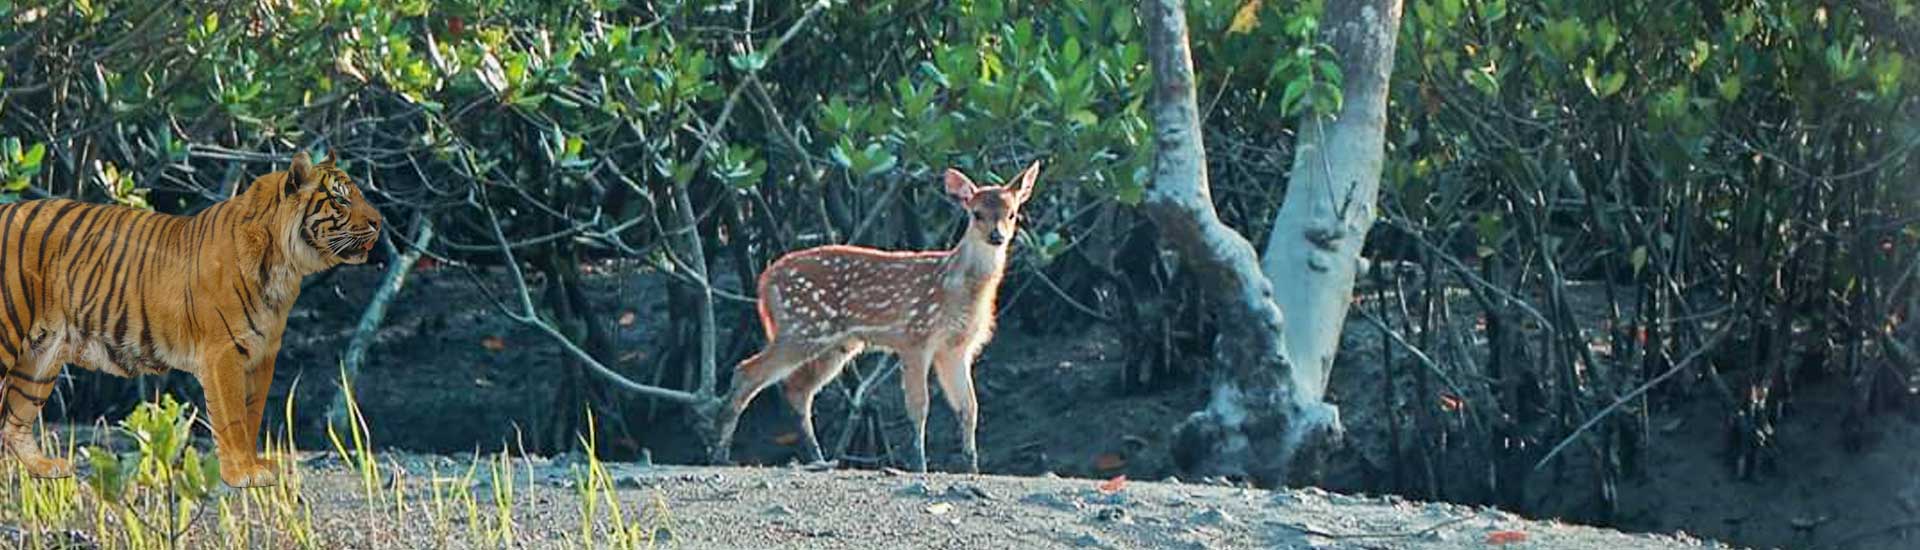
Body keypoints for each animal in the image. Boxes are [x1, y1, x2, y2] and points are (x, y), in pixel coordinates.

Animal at [0, 149, 380, 484]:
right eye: (341, 200)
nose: (379, 222)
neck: (284, 268)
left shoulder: (263, 355)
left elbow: (252, 412)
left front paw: (257, 465)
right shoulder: (223, 353)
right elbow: (232, 416)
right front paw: (243, 473)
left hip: (41, 357)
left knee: (13, 421)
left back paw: (46, 468)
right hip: (8, 337)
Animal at [710, 159, 1044, 473]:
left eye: (1012, 214)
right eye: (976, 213)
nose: (997, 236)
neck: (959, 290)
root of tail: (765, 279)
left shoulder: (956, 348)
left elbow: (969, 408)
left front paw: (972, 467)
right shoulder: (916, 337)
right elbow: (919, 406)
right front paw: (918, 465)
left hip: (837, 343)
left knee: (797, 388)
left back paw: (817, 458)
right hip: (803, 327)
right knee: (747, 371)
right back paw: (720, 453)